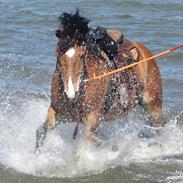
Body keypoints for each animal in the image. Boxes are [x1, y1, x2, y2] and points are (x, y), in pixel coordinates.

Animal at [35, 10, 165, 149]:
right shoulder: (57, 113)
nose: (70, 93)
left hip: (153, 106)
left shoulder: (92, 122)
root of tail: (144, 51)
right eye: (58, 55)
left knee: (160, 128)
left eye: (82, 56)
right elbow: (40, 132)